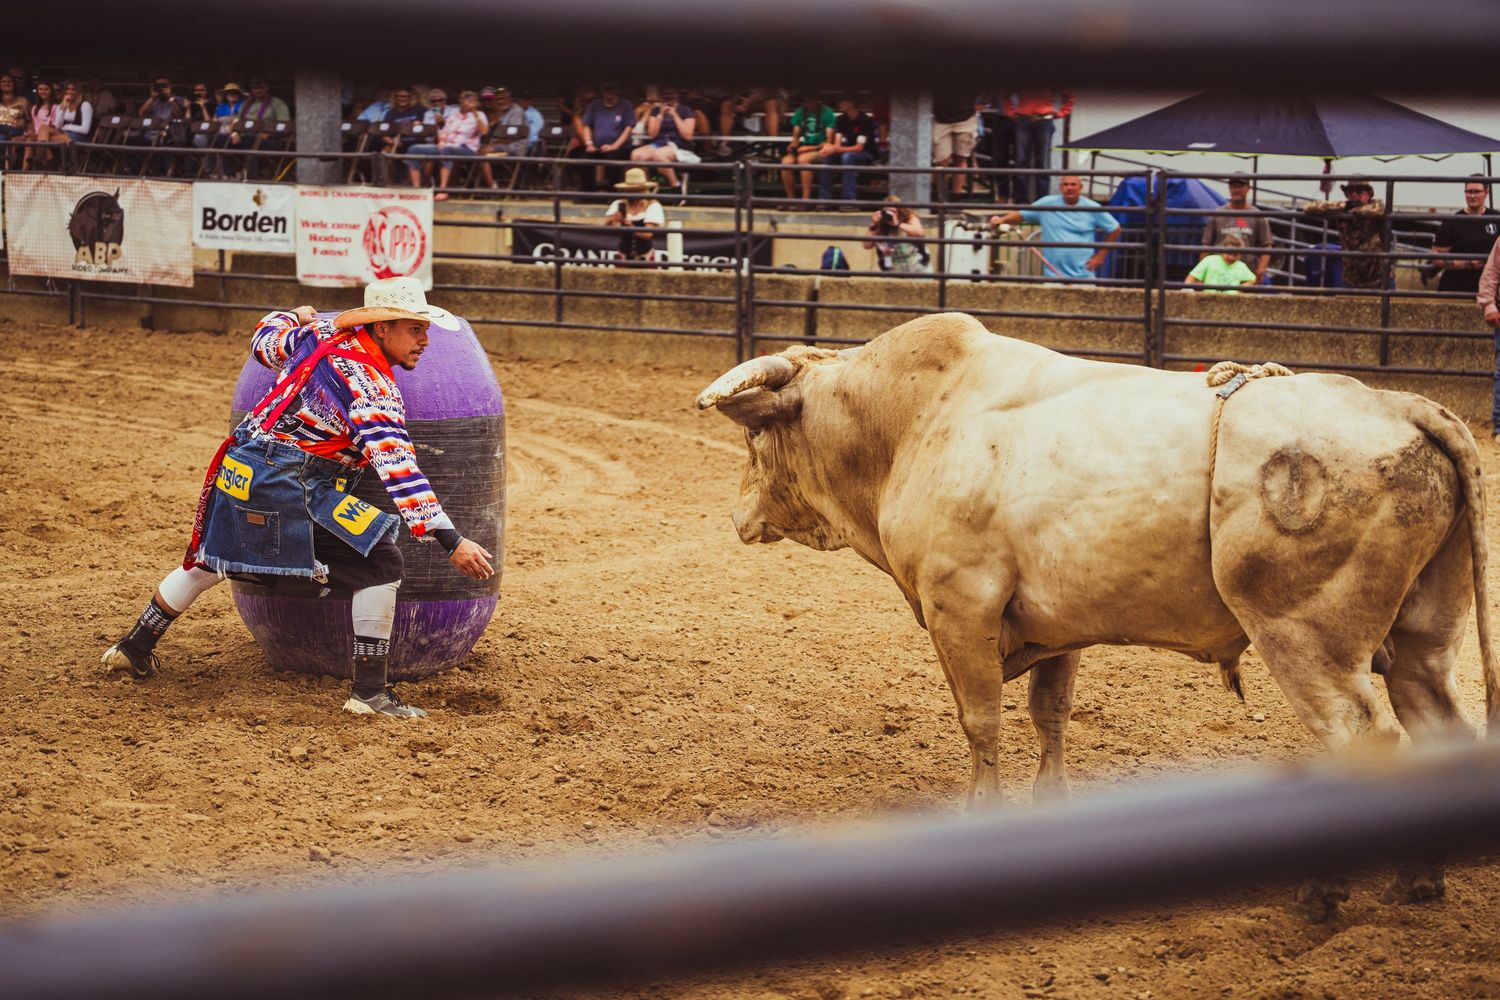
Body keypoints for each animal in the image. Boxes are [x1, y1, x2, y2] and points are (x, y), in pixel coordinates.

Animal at [697, 312, 1498, 909]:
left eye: (754, 434)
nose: (737, 516)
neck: (910, 423)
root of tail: (1400, 405)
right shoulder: (1058, 631)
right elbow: (1050, 716)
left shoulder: (960, 610)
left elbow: (980, 722)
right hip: (1422, 640)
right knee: (1437, 728)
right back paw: (1418, 879)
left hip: (1309, 644)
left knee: (1367, 742)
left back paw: (1325, 892)